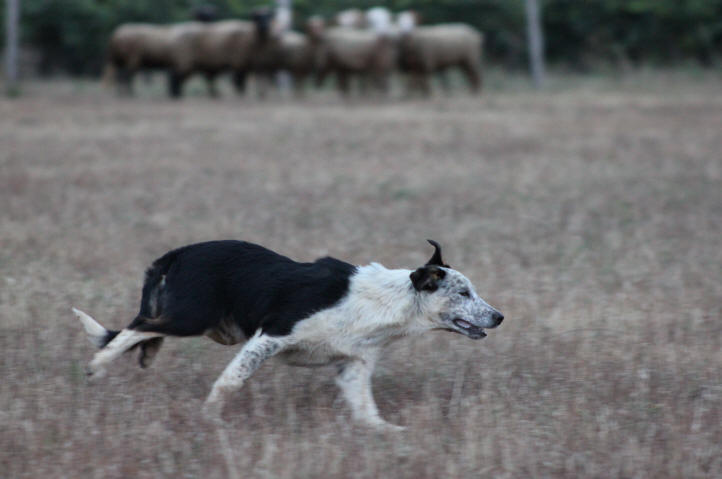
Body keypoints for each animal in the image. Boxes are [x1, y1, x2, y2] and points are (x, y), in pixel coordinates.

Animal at [73, 240, 500, 432]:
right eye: (464, 293)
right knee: (135, 329)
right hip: (192, 316)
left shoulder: (353, 366)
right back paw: (98, 366)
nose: (499, 316)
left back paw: (143, 356)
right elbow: (230, 381)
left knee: (143, 331)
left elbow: (367, 412)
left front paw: (391, 435)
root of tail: (177, 253)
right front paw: (209, 418)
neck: (386, 302)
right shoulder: (270, 336)